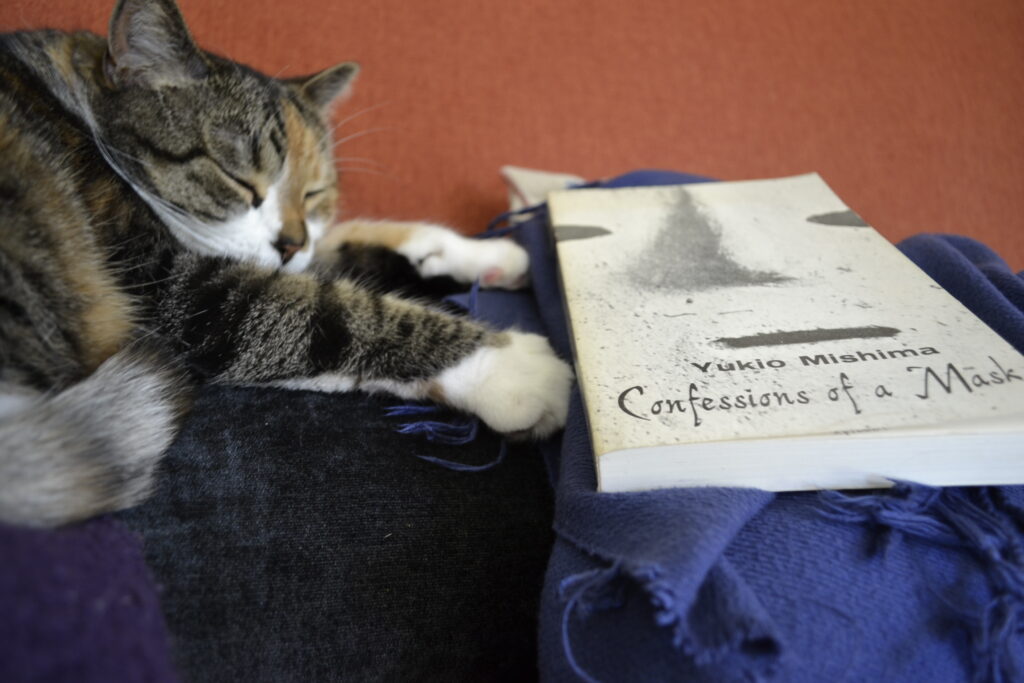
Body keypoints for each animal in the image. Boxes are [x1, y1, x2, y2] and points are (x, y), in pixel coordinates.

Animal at [0, 0, 577, 528]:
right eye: (239, 179)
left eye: (314, 192)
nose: (290, 243)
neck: (82, 116)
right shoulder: (171, 283)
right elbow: (325, 311)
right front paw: (513, 368)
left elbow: (346, 244)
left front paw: (487, 254)